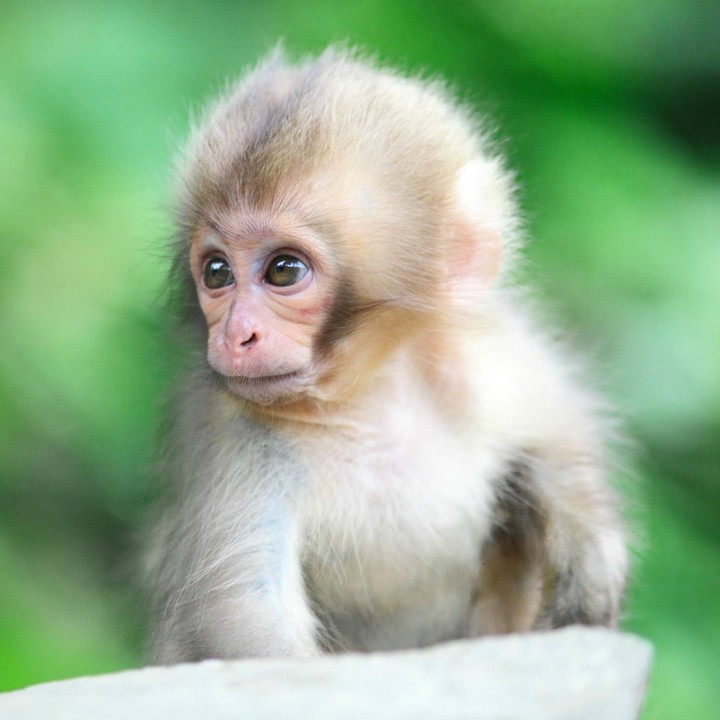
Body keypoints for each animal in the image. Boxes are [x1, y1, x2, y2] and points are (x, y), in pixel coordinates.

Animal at [144, 47, 628, 663]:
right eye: (216, 272)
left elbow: (559, 433)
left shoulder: (489, 360)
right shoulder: (231, 427)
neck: (371, 398)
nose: (236, 335)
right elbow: (242, 604)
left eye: (284, 270)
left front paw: (592, 550)